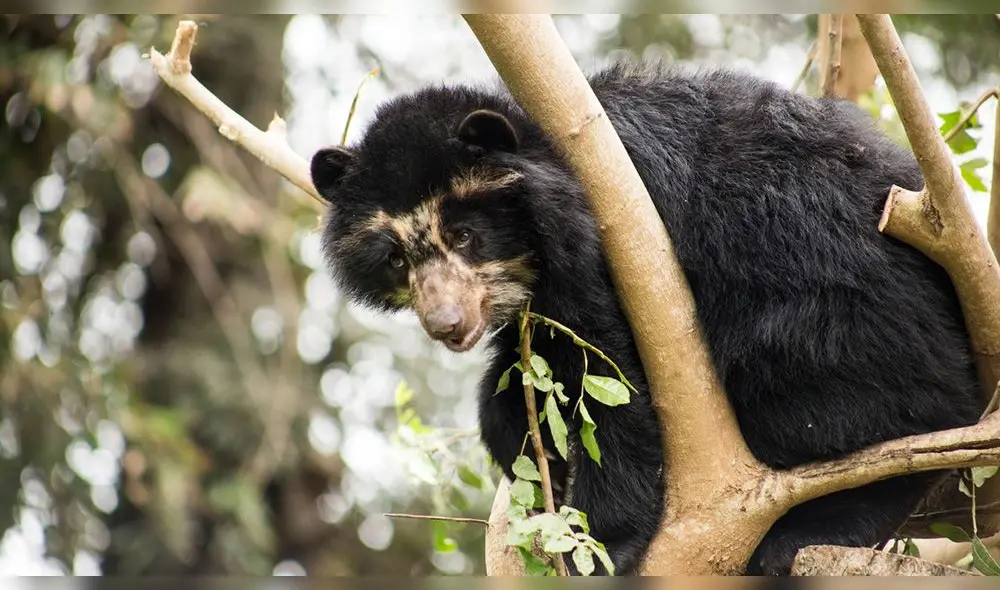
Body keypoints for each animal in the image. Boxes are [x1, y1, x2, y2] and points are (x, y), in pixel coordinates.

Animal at [309, 60, 984, 576]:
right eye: (396, 257)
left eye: (463, 235)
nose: (447, 324)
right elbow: (530, 371)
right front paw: (526, 441)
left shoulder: (618, 244)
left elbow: (613, 373)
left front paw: (603, 544)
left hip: (846, 325)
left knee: (856, 411)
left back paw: (805, 534)